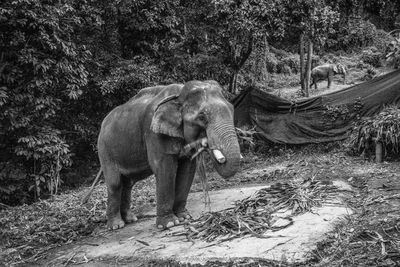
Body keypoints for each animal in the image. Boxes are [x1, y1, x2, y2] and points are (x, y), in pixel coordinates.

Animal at [97, 80, 241, 231]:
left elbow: (187, 170)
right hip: (105, 151)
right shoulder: (153, 133)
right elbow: (165, 169)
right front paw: (169, 224)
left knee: (128, 183)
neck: (178, 95)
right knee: (115, 183)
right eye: (202, 117)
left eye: (232, 109)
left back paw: (130, 219)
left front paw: (184, 217)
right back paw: (116, 226)